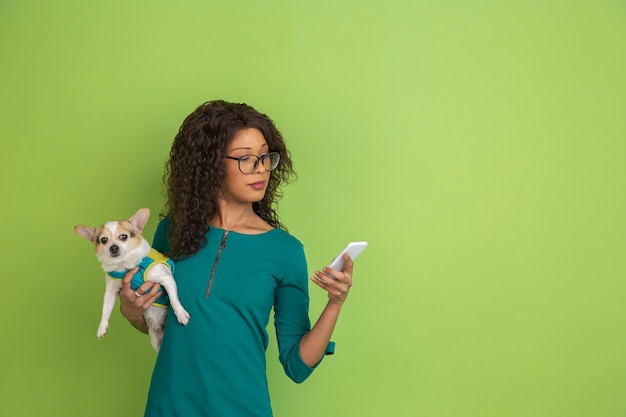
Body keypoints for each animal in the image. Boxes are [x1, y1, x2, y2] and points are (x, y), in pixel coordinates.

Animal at [74, 206, 189, 350]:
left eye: (123, 237)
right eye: (103, 240)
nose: (113, 247)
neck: (124, 266)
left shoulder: (166, 279)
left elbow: (174, 299)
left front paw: (180, 313)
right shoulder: (110, 292)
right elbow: (105, 309)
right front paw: (102, 327)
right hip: (155, 340)